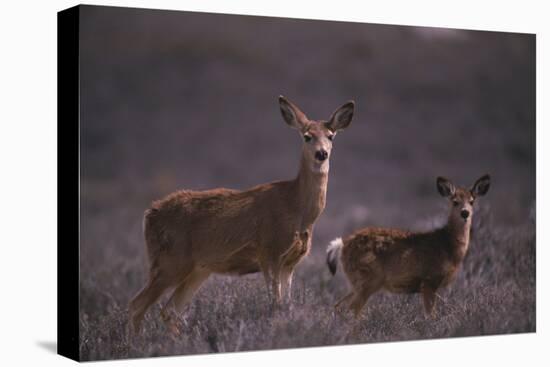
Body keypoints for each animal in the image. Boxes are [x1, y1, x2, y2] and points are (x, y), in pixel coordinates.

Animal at [129, 96, 356, 332]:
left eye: (331, 136)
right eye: (307, 136)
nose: (322, 153)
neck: (297, 209)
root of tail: (149, 214)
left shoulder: (290, 263)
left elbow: (287, 305)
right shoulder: (269, 253)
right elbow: (274, 306)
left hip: (197, 269)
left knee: (169, 310)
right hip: (170, 260)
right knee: (137, 305)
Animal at [328, 175, 492, 320]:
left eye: (472, 201)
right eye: (455, 202)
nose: (465, 213)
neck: (447, 247)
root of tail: (342, 244)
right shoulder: (429, 280)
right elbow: (430, 316)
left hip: (357, 281)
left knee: (339, 306)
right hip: (368, 277)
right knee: (352, 309)